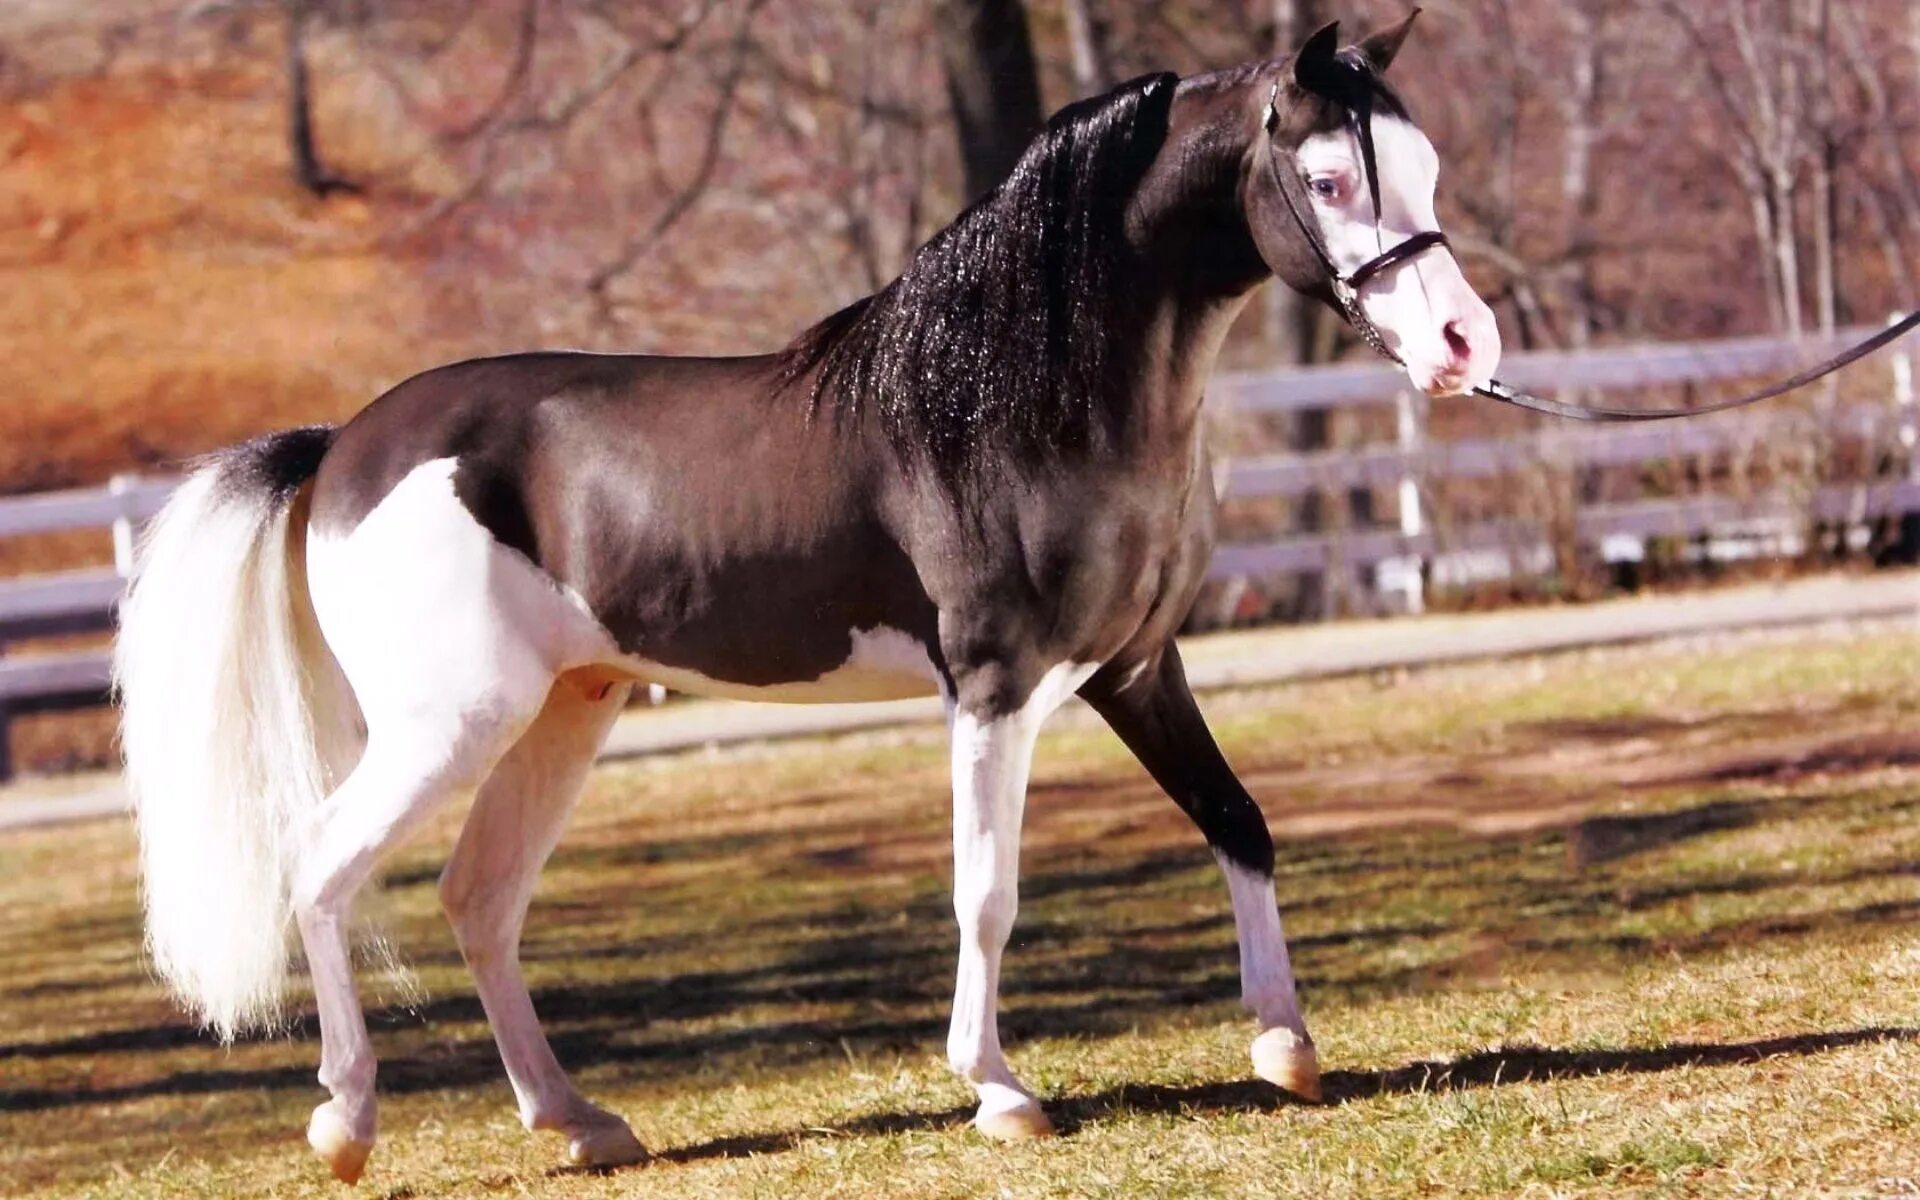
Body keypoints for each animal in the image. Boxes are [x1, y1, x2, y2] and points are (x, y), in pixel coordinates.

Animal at [116, 11, 1497, 1182]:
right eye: (1330, 180)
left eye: (1425, 166)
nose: (1464, 348)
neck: (1015, 397)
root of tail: (339, 448)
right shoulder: (995, 688)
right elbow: (986, 891)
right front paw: (999, 1090)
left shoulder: (1135, 671)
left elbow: (1239, 821)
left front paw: (1285, 1043)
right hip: (447, 725)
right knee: (321, 867)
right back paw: (346, 1123)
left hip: (561, 713)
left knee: (480, 899)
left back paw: (581, 1122)